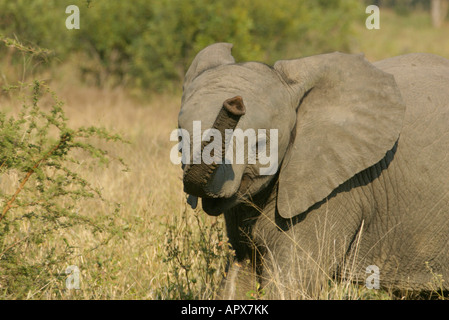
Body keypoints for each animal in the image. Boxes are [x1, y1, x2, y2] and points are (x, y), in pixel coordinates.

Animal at [176, 41, 449, 298]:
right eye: (179, 140)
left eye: (259, 144)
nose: (235, 103)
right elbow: (240, 274)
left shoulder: (338, 190)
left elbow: (290, 285)